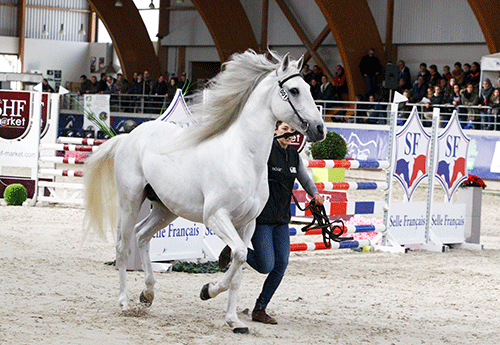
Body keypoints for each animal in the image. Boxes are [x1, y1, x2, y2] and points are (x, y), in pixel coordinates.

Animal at [84, 49, 326, 332]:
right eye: (294, 90)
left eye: (309, 88)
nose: (320, 129)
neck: (243, 156)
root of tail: (128, 136)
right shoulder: (216, 217)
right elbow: (239, 255)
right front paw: (208, 290)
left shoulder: (248, 224)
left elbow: (239, 266)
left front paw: (234, 320)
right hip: (130, 201)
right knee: (123, 245)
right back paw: (124, 302)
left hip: (166, 209)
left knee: (142, 235)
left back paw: (148, 294)